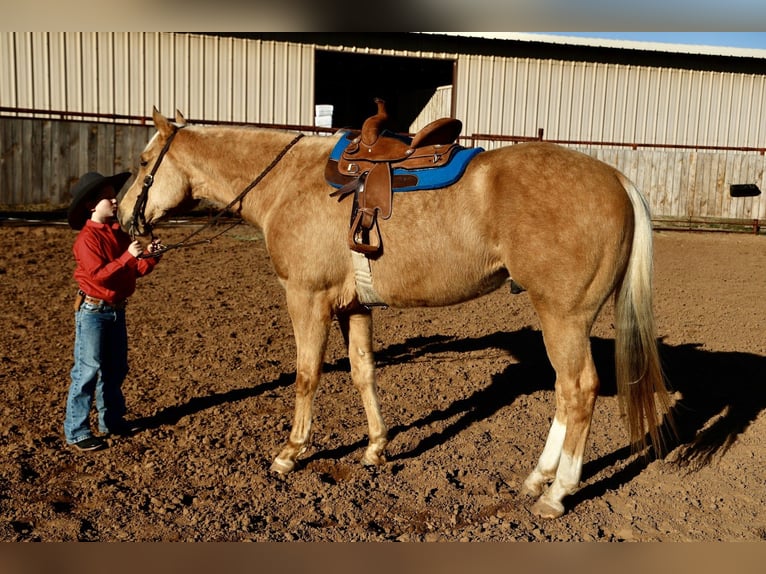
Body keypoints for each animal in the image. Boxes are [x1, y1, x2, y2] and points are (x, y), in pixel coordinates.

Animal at [118, 108, 674, 519]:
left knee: (578, 390)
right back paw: (537, 479)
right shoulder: (353, 306)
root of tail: (617, 178)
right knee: (564, 392)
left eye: (144, 162)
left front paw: (290, 452)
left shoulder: (306, 297)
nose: (123, 218)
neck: (289, 185)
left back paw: (557, 494)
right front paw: (375, 448)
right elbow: (363, 372)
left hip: (564, 316)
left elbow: (306, 374)